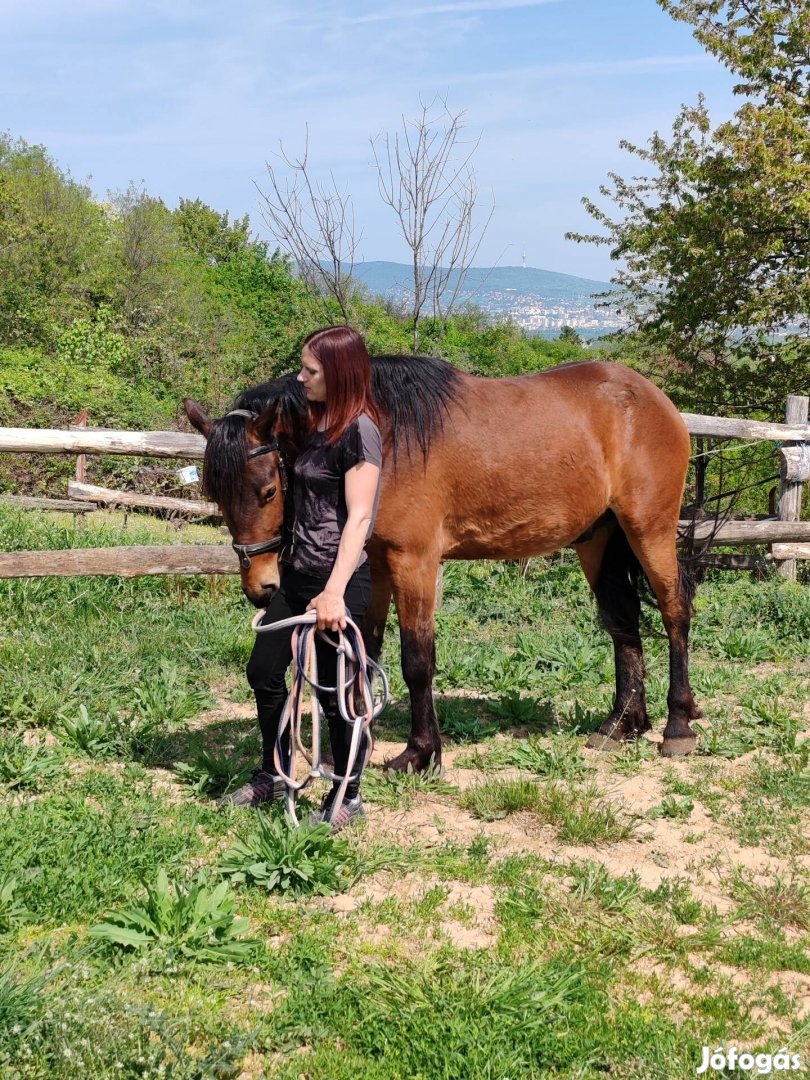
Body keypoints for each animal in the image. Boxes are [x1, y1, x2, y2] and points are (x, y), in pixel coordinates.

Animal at [180, 358, 699, 773]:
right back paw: (621, 724)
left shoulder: (415, 563)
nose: (261, 587)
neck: (385, 437)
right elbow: (366, 649)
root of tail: (655, 400)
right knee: (623, 623)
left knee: (675, 612)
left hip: (649, 531)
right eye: (216, 494)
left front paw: (420, 753)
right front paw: (358, 744)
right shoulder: (378, 565)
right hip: (598, 541)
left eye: (268, 490)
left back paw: (677, 726)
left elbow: (417, 661)